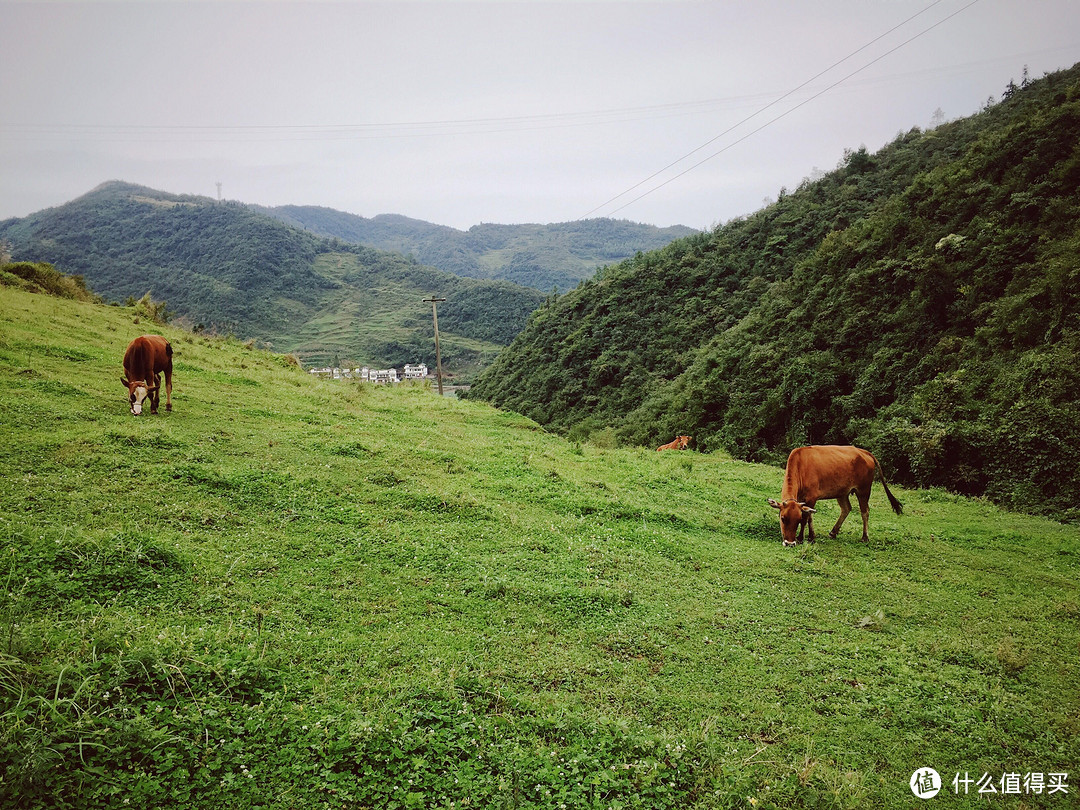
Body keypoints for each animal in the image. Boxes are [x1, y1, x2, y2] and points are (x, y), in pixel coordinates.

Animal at [768, 447, 902, 548]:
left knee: (865, 511)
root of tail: (864, 452)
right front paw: (811, 537)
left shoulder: (812, 497)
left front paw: (802, 538)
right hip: (842, 493)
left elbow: (807, 517)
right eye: (783, 518)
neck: (801, 466)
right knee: (846, 508)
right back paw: (833, 532)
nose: (790, 543)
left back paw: (865, 537)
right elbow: (810, 516)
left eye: (798, 519)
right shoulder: (802, 499)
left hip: (864, 490)